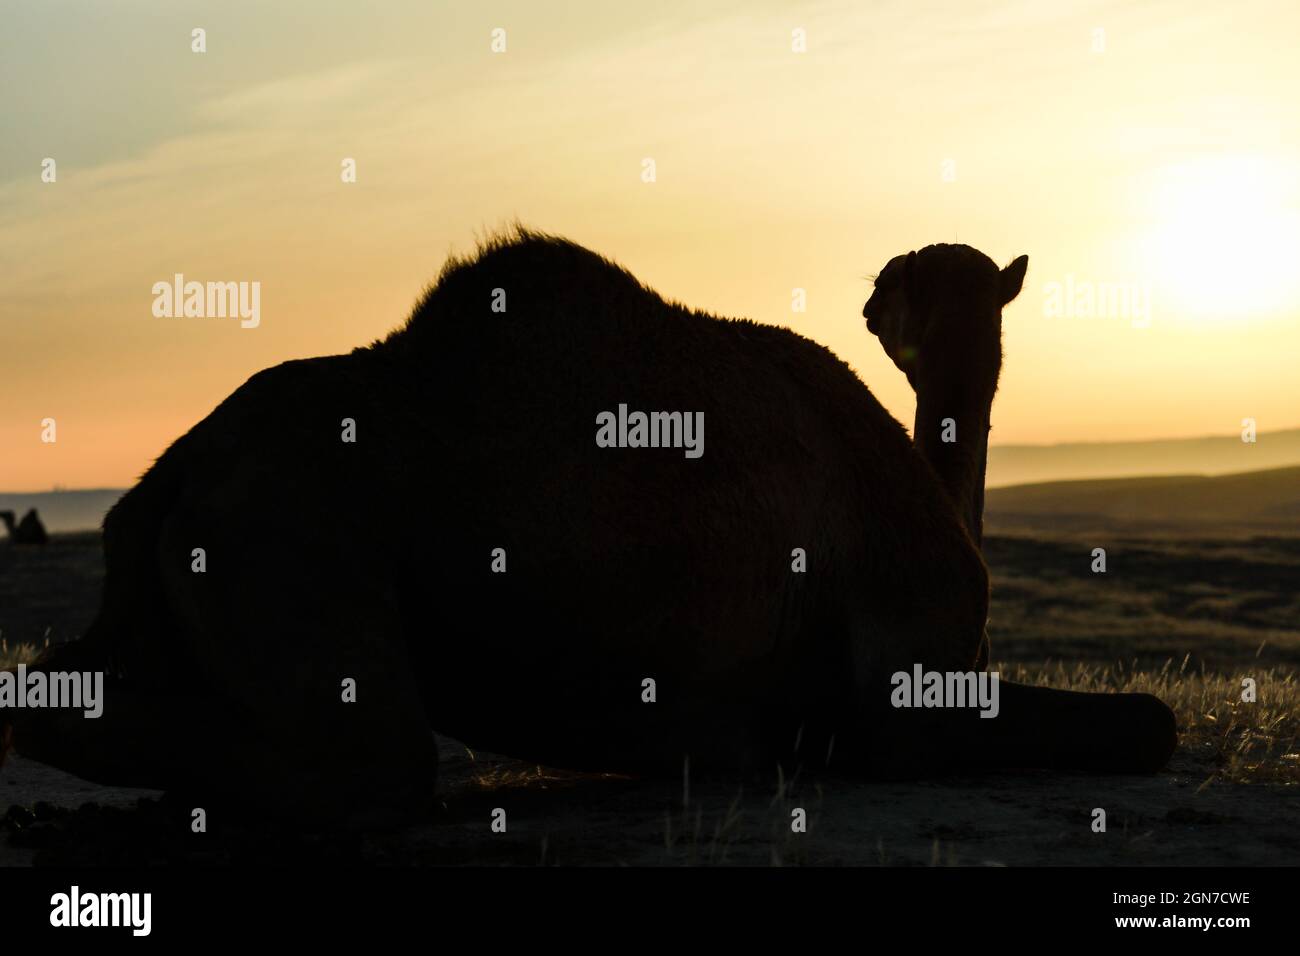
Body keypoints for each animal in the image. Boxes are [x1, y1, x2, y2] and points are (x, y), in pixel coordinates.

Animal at [2, 230, 1180, 822]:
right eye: (903, 284)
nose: (875, 287)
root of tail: (171, 474)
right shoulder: (903, 693)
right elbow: (1154, 721)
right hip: (294, 537)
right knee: (381, 759)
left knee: (55, 689)